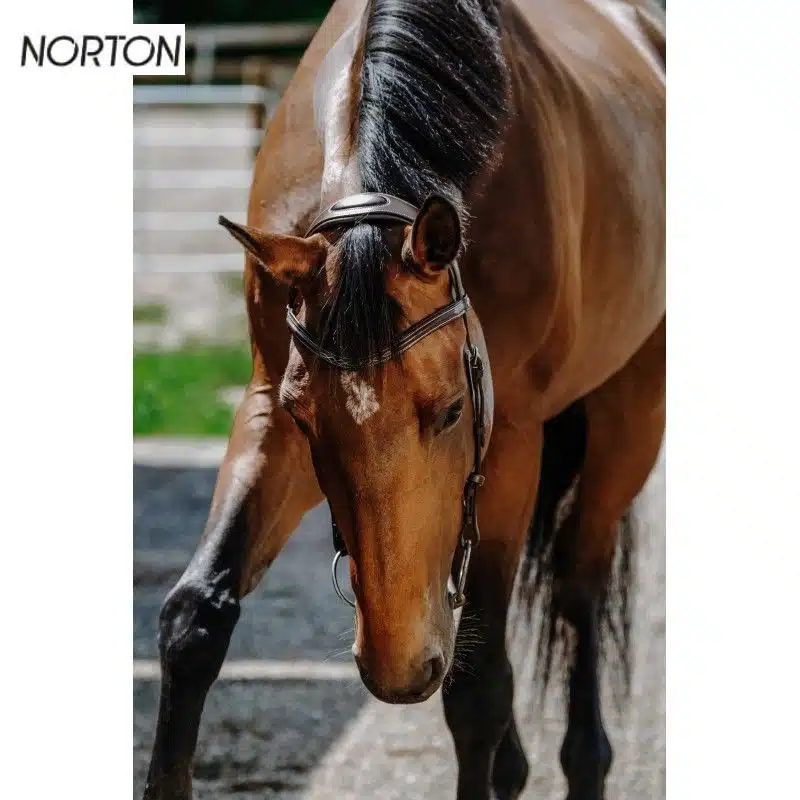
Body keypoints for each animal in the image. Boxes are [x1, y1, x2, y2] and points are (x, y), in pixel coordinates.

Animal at [142, 1, 665, 798]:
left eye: (451, 410)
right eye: (306, 419)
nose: (397, 669)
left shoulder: (510, 438)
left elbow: (477, 689)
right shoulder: (268, 410)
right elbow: (194, 617)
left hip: (631, 409)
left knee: (579, 582)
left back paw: (585, 759)